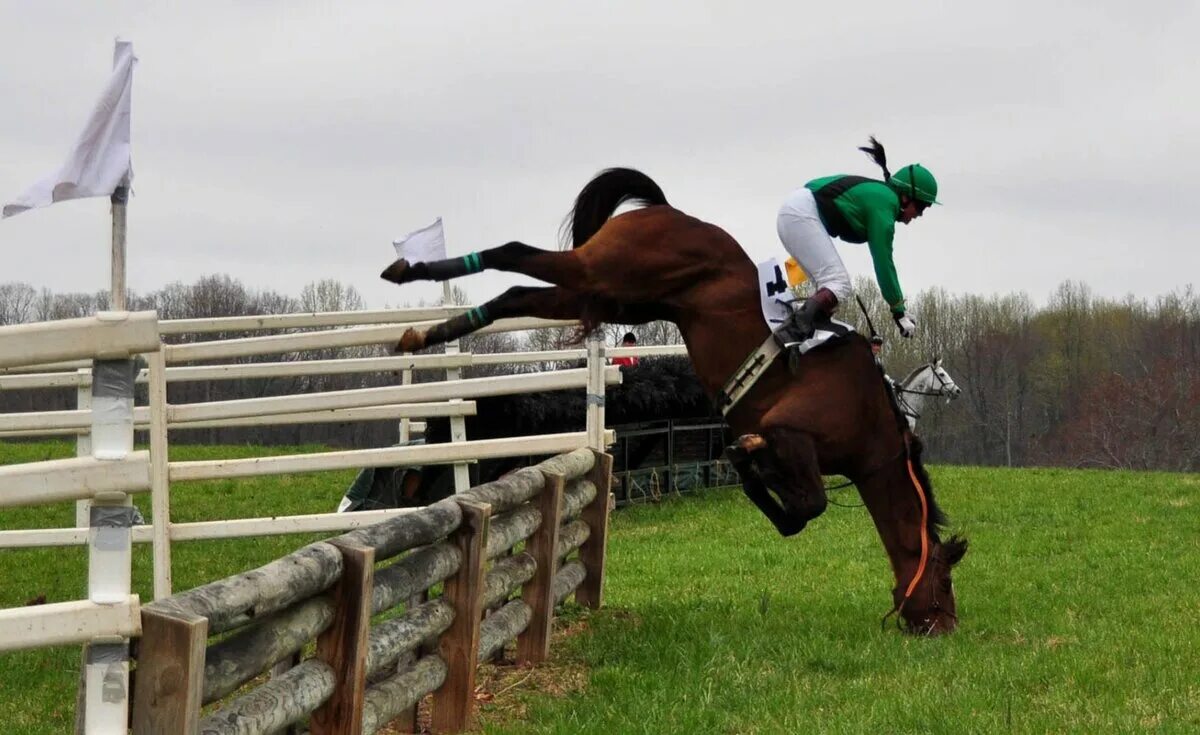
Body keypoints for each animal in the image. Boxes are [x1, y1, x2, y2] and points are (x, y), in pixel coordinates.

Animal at [379, 169, 969, 634]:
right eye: (945, 582)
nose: (943, 626)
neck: (873, 421)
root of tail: (665, 208)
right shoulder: (794, 434)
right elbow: (807, 508)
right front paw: (748, 464)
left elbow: (795, 505)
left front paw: (746, 462)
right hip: (607, 272)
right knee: (515, 254)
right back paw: (409, 273)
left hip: (615, 297)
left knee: (516, 293)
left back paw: (424, 331)